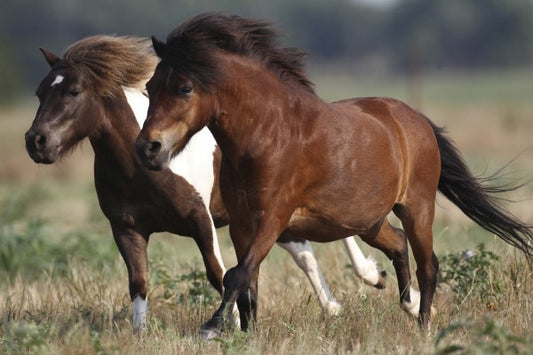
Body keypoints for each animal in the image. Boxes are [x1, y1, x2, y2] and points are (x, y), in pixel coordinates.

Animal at [23, 35, 386, 330]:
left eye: (73, 91)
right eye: (39, 92)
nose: (36, 142)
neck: (140, 169)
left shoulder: (200, 220)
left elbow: (217, 273)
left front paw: (229, 324)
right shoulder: (126, 228)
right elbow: (138, 282)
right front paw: (140, 334)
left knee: (336, 231)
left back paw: (370, 276)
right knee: (304, 252)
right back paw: (334, 307)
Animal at [135, 12, 532, 338]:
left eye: (185, 88)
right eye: (150, 88)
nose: (147, 148)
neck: (268, 134)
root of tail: (416, 120)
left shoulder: (273, 218)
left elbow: (237, 274)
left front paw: (211, 327)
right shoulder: (242, 223)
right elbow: (248, 281)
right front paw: (247, 335)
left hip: (417, 208)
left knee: (428, 265)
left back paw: (424, 325)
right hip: (368, 221)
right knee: (398, 244)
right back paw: (408, 305)